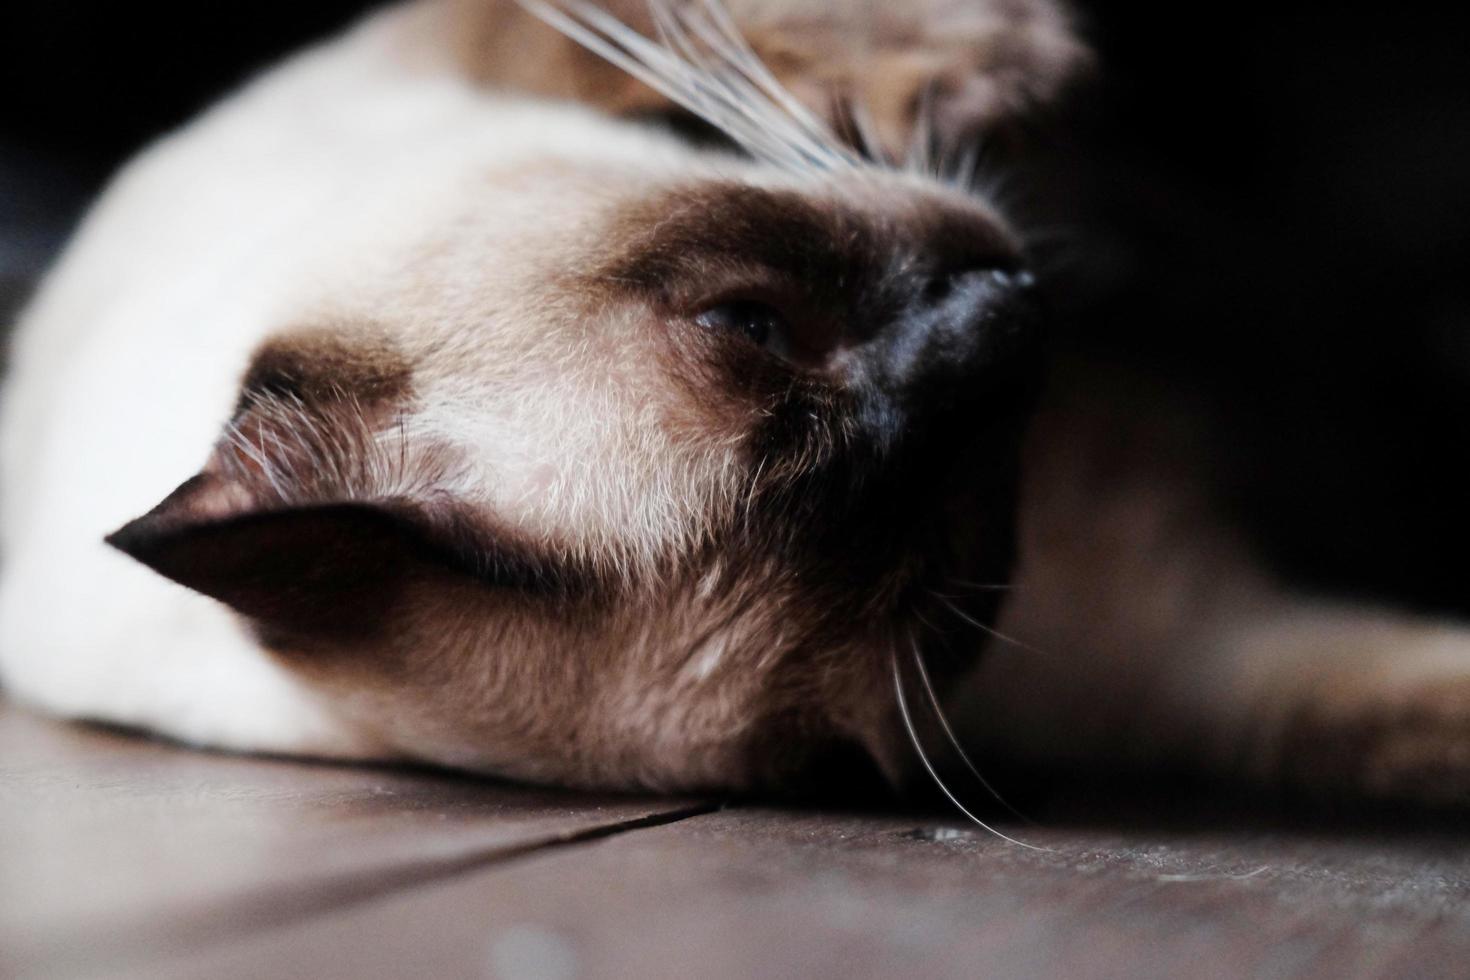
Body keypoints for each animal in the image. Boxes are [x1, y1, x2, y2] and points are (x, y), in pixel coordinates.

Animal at [2, 0, 1470, 811]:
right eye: (949, 572)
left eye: (744, 321)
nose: (1010, 322)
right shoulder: (1207, 662)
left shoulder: (430, 50)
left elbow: (625, 20)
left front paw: (999, 59)